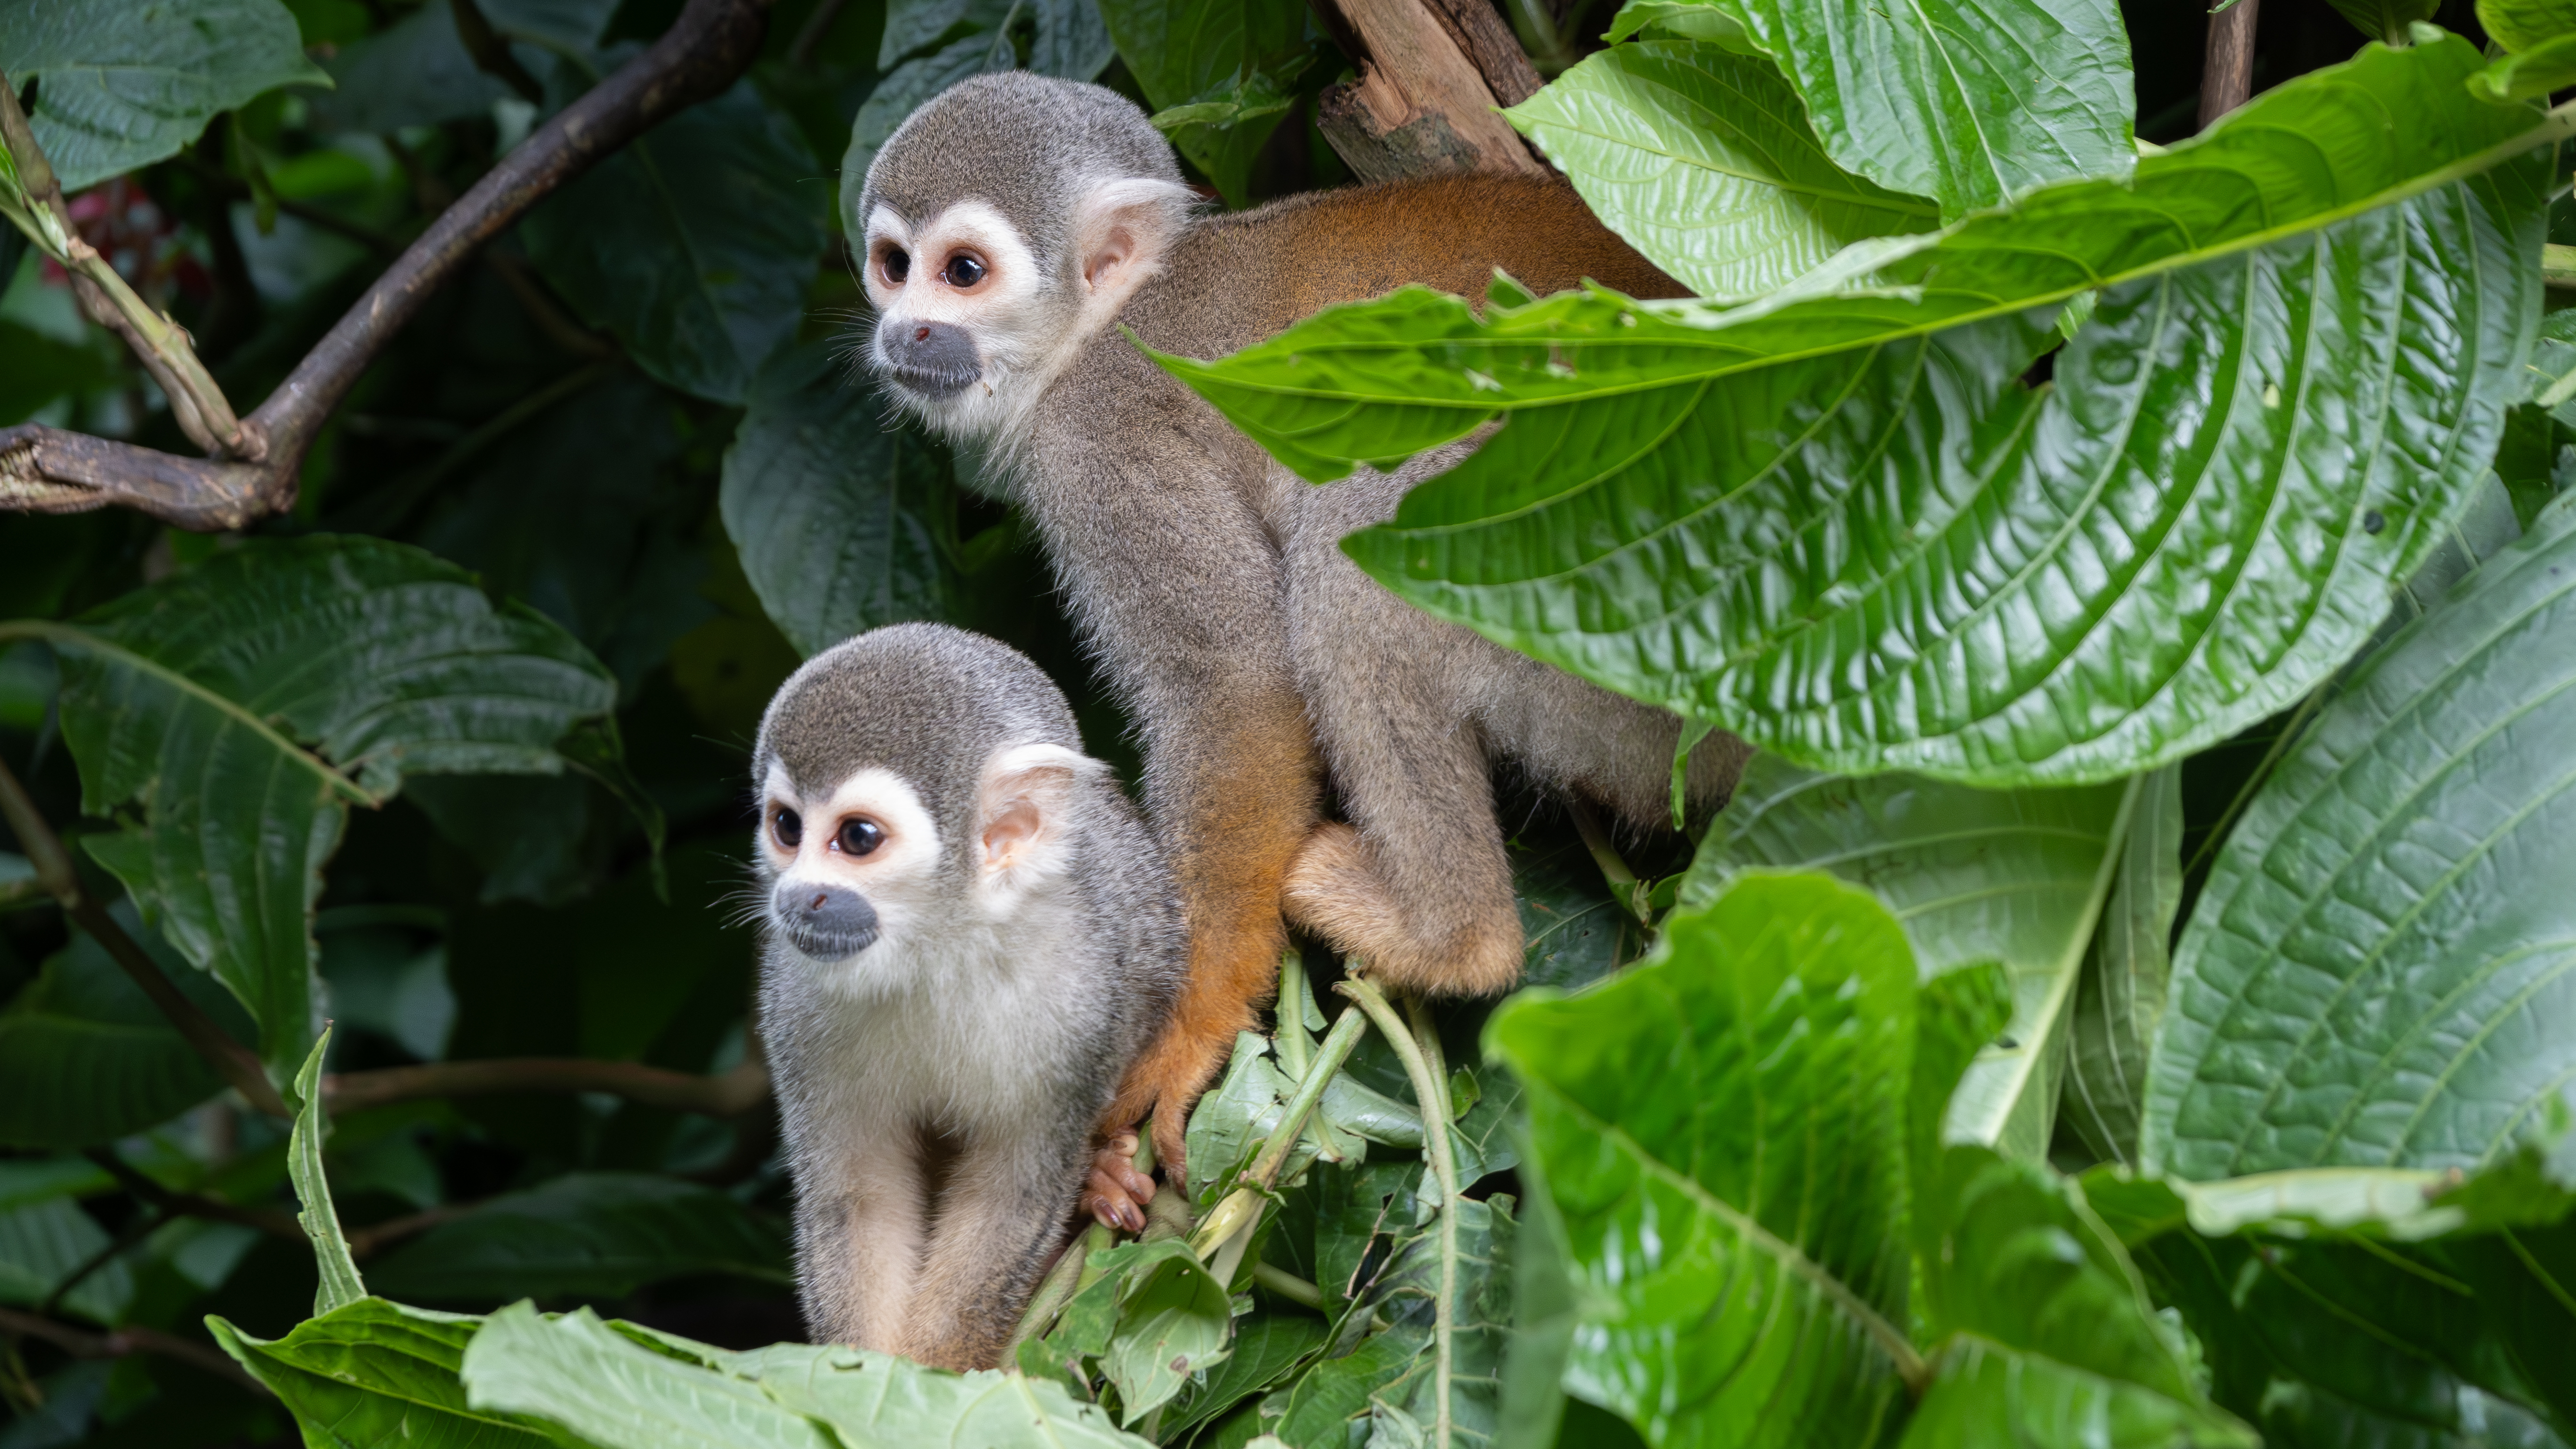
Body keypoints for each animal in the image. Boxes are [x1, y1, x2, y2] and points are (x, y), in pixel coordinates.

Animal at [750, 622, 1184, 1370]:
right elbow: (859, 1199)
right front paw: (865, 1378)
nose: (797, 897)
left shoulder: (1079, 1000)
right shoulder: (796, 998)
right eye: (786, 827)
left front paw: (941, 1374)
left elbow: (1010, 1196)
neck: (938, 947)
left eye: (856, 838)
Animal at [853, 73, 1754, 1184]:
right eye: (895, 267)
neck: (1100, 326)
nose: (906, 332)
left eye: (964, 273)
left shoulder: (1103, 439)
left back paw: (1447, 938)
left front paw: (1185, 1031)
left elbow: (1235, 683)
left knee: (1348, 550)